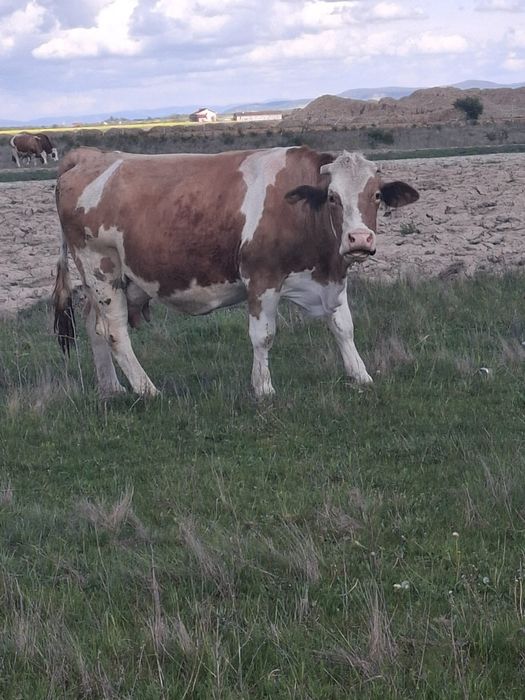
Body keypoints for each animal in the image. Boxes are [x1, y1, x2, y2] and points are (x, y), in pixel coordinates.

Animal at [53, 146, 419, 398]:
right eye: (333, 197)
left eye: (376, 195)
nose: (359, 239)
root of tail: (90, 156)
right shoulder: (262, 277)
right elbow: (263, 335)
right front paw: (263, 388)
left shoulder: (331, 277)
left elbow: (344, 327)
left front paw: (360, 375)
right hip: (100, 267)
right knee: (114, 331)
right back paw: (148, 390)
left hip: (116, 280)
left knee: (95, 325)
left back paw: (111, 388)